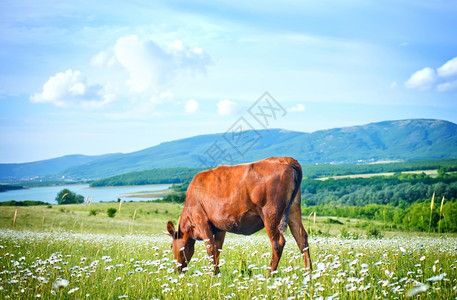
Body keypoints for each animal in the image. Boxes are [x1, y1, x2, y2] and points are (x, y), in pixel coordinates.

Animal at [166, 157, 312, 274]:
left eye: (172, 246)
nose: (176, 270)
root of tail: (286, 160)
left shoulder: (201, 222)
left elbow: (211, 249)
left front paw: (213, 275)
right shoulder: (220, 227)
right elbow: (217, 249)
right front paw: (218, 273)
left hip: (270, 214)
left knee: (278, 242)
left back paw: (269, 274)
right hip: (293, 211)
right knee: (302, 238)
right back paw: (308, 273)